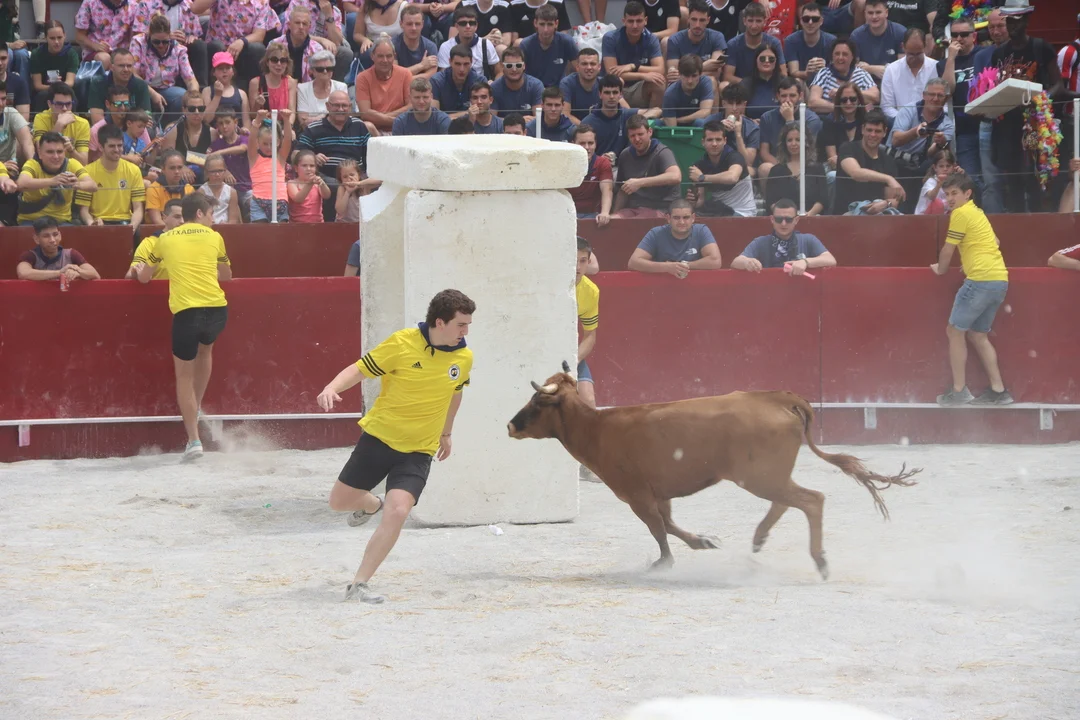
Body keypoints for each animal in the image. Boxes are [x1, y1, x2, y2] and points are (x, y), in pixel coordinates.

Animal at [507, 364, 920, 579]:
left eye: (536, 402)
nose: (510, 425)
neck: (598, 427)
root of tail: (779, 398)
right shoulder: (659, 493)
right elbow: (670, 524)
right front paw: (703, 542)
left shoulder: (637, 495)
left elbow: (658, 529)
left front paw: (664, 562)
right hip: (769, 477)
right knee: (788, 502)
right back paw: (759, 539)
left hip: (760, 477)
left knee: (811, 500)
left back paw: (819, 560)